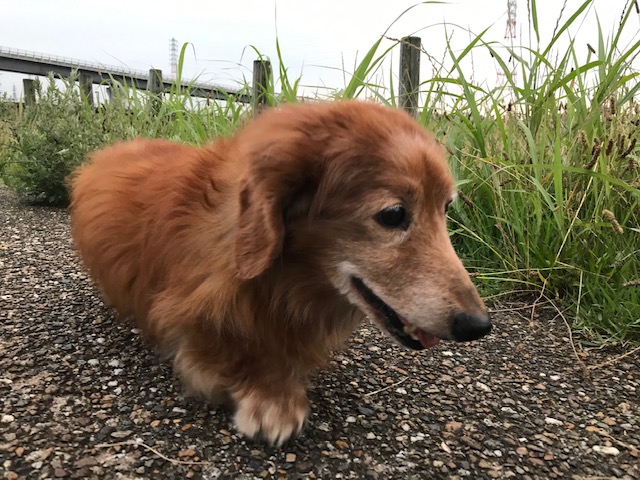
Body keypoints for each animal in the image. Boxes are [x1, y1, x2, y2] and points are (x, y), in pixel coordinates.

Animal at [70, 100, 490, 446]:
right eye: (393, 214)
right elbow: (235, 346)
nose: (479, 326)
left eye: (445, 208)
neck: (286, 282)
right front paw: (272, 397)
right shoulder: (188, 310)